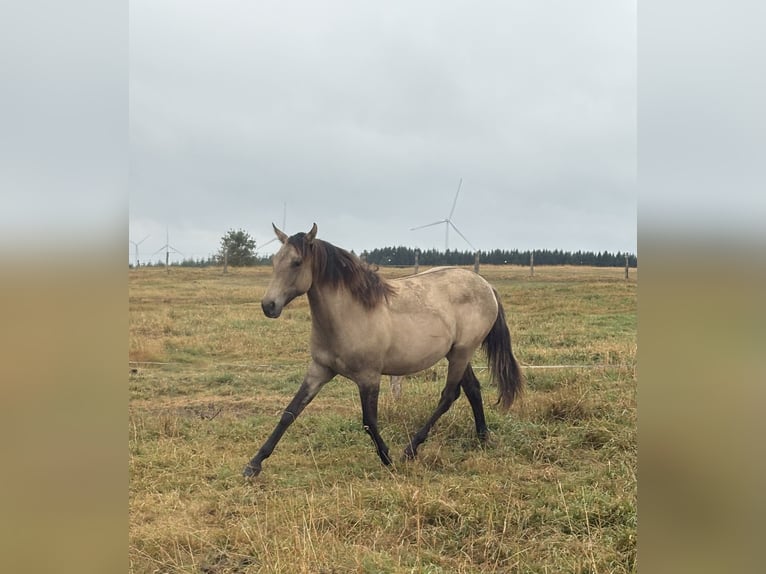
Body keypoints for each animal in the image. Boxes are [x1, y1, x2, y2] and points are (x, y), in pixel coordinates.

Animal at [243, 223, 523, 477]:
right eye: (274, 260)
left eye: (297, 262)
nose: (269, 306)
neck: (350, 315)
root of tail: (485, 285)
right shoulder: (319, 370)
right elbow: (290, 412)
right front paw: (254, 464)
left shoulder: (369, 377)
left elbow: (369, 421)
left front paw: (387, 459)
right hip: (456, 353)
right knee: (472, 389)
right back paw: (483, 438)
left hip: (461, 352)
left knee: (449, 395)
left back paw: (411, 449)